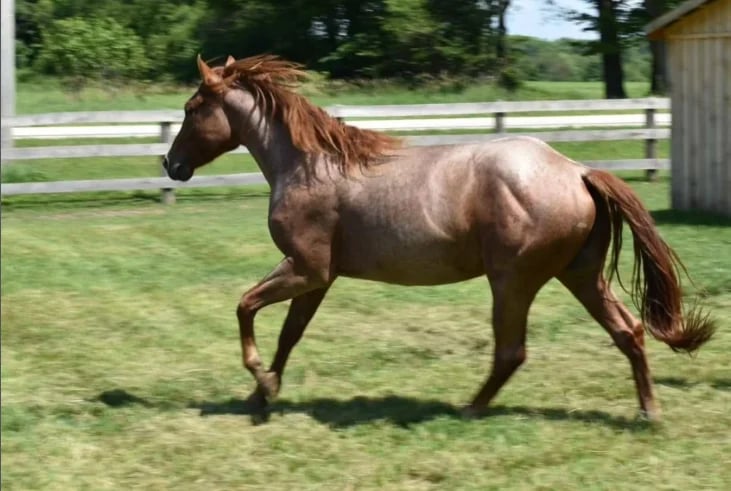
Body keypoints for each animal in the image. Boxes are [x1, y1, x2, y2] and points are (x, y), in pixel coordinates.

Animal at [163, 54, 715, 420]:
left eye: (191, 108)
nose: (170, 164)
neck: (307, 166)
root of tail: (578, 171)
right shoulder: (318, 278)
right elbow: (288, 334)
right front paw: (264, 393)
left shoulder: (305, 269)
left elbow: (246, 306)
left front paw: (258, 379)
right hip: (579, 274)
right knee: (628, 330)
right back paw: (648, 412)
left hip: (514, 280)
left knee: (512, 351)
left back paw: (470, 408)